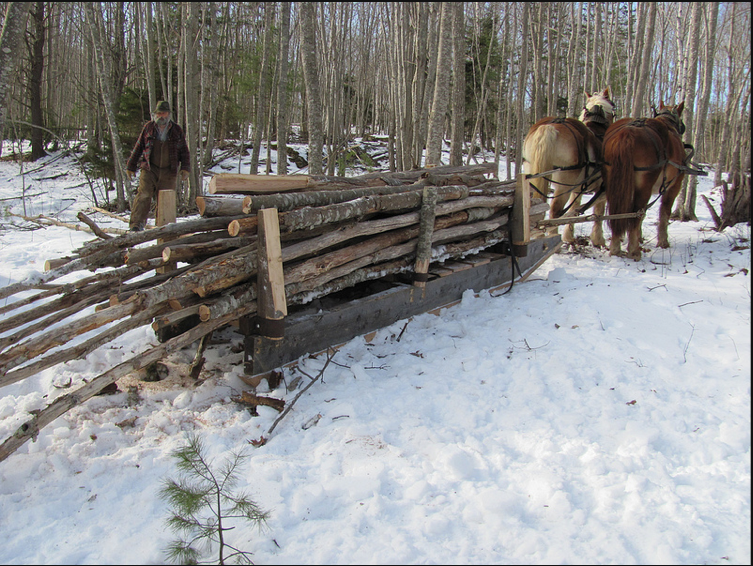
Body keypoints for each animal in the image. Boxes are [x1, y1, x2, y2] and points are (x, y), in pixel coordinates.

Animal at [522, 88, 616, 247]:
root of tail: (549, 127)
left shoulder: (578, 188)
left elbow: (574, 208)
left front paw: (569, 236)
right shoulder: (602, 188)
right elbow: (598, 212)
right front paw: (598, 239)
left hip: (533, 175)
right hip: (563, 185)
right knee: (554, 211)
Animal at [602, 100, 686, 260]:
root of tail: (627, 133)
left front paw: (638, 237)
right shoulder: (674, 186)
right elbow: (664, 212)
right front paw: (663, 241)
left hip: (613, 181)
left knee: (619, 213)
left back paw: (615, 248)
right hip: (645, 185)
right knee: (636, 213)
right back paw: (634, 251)